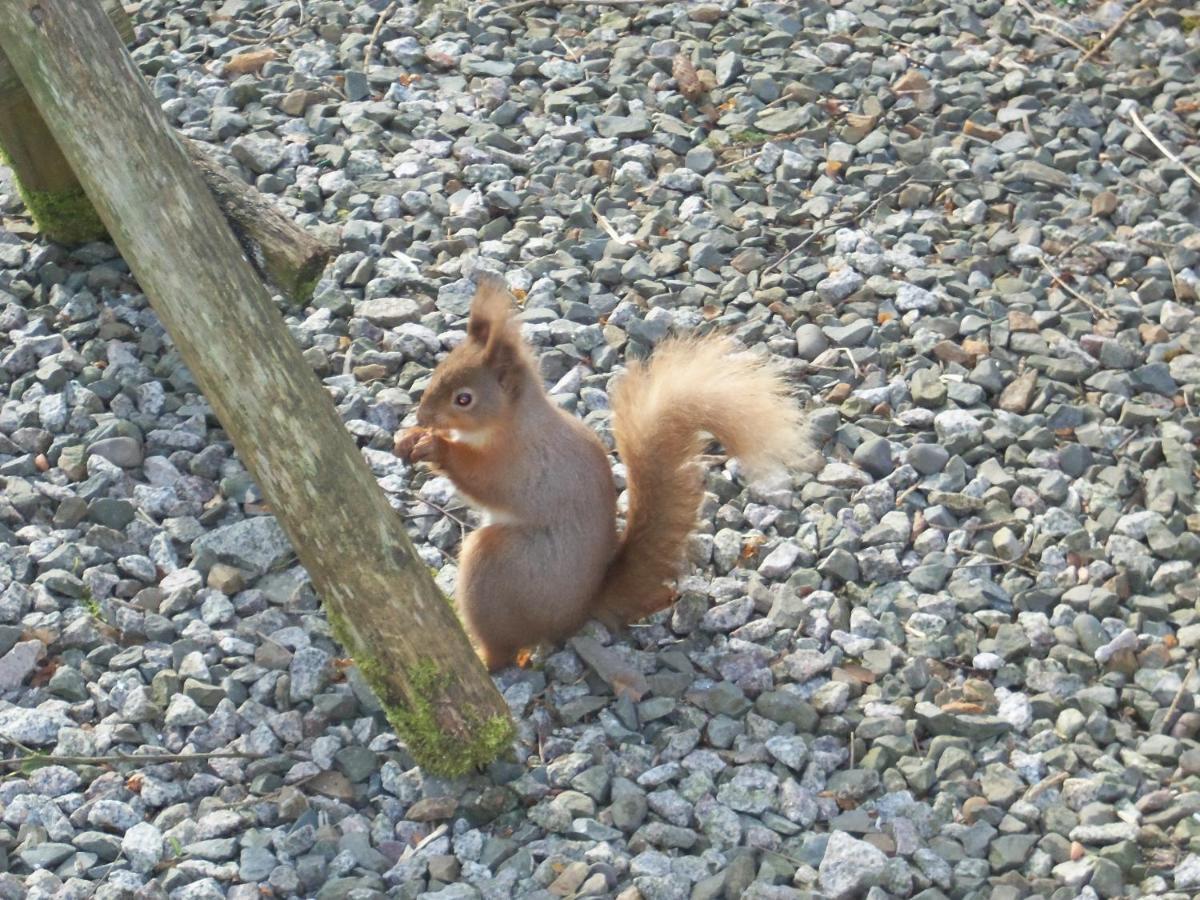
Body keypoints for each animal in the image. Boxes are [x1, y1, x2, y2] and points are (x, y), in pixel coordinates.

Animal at [393, 278, 816, 672]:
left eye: (464, 399)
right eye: (439, 371)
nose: (422, 415)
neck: (512, 426)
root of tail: (575, 615)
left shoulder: (520, 466)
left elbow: (480, 479)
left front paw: (436, 447)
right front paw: (410, 437)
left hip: (498, 569)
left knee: (505, 651)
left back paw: (484, 658)